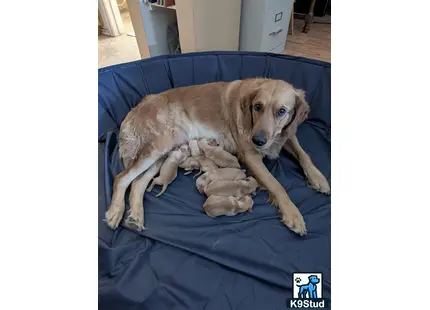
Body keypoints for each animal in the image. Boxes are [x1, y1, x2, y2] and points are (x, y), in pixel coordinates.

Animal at [106, 77, 330, 235]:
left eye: (282, 111)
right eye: (258, 106)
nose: (258, 140)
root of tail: (139, 105)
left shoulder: (287, 135)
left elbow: (304, 155)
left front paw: (319, 178)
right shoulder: (251, 156)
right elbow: (277, 185)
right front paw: (293, 214)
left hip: (162, 154)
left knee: (137, 183)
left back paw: (136, 216)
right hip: (158, 146)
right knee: (121, 178)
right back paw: (116, 212)